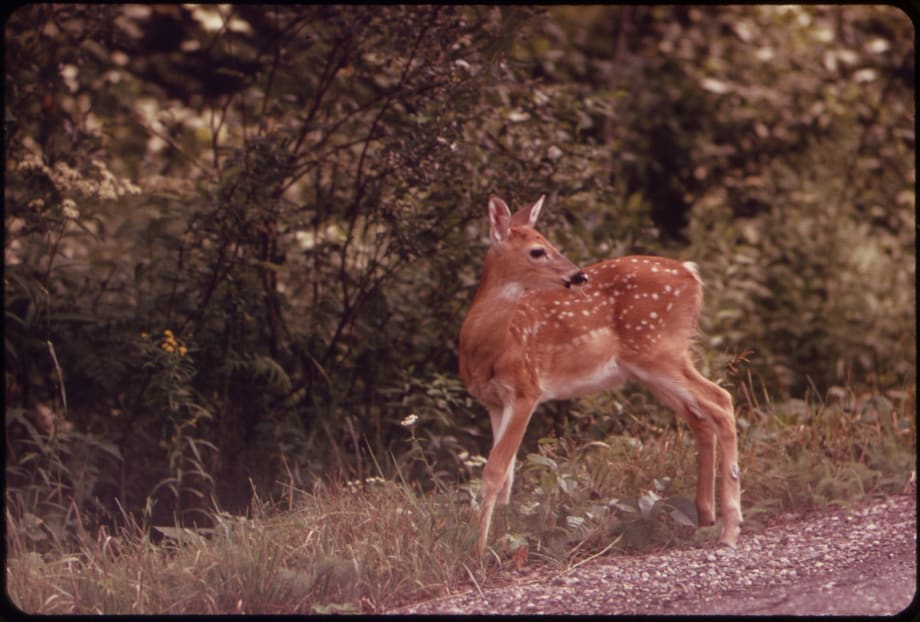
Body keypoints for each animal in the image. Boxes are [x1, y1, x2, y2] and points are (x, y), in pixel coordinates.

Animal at [459, 194, 742, 555]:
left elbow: (494, 471)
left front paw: (480, 551)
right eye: (537, 250)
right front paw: (502, 540)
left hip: (660, 350)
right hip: (649, 366)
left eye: (548, 242)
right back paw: (706, 515)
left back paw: (730, 528)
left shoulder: (526, 389)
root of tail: (692, 274)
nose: (578, 275)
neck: (490, 346)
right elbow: (507, 477)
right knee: (701, 418)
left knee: (721, 401)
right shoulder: (493, 401)